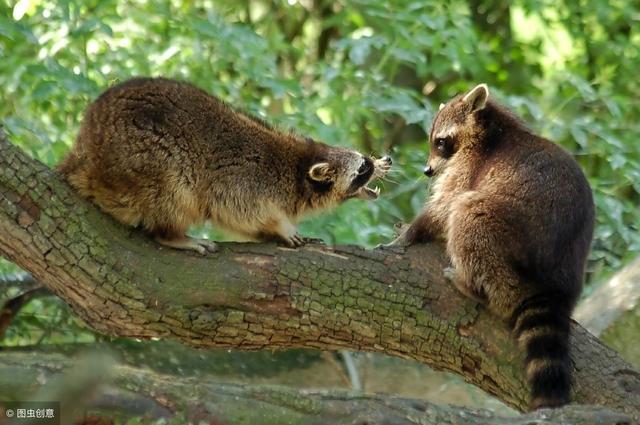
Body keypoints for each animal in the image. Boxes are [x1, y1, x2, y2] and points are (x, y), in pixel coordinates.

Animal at [60, 77, 390, 252]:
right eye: (363, 167)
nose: (385, 160)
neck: (298, 166)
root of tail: (84, 151)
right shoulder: (246, 178)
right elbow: (237, 208)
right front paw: (280, 225)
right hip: (143, 157)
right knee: (173, 191)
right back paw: (172, 235)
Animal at [390, 83, 596, 408]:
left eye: (440, 142)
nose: (427, 171)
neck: (494, 129)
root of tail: (553, 283)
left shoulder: (469, 164)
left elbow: (445, 204)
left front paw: (412, 231)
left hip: (508, 233)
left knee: (468, 214)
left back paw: (474, 286)